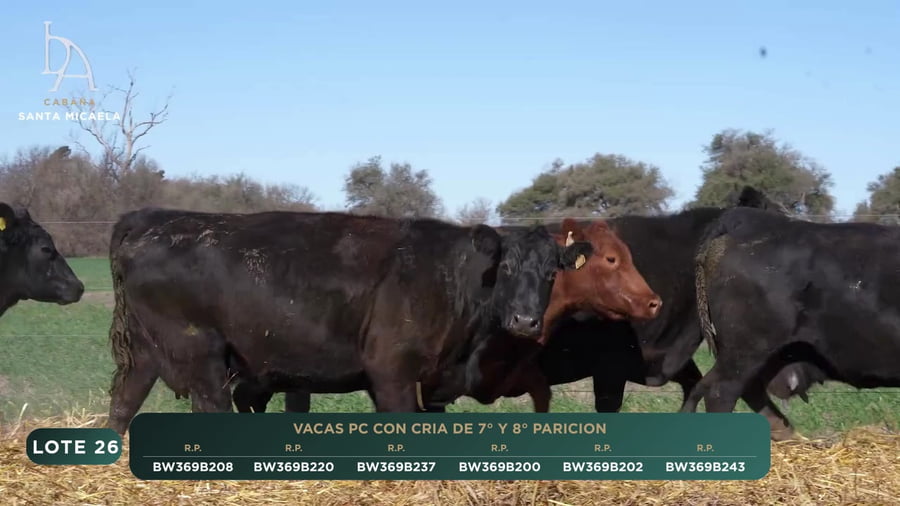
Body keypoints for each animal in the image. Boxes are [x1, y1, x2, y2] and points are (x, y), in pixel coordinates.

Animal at [105, 209, 600, 434]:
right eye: (507, 268)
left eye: (553, 273)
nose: (526, 320)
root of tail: (155, 218)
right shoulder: (392, 372)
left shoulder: (429, 380)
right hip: (202, 356)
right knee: (208, 409)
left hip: (146, 355)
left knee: (122, 406)